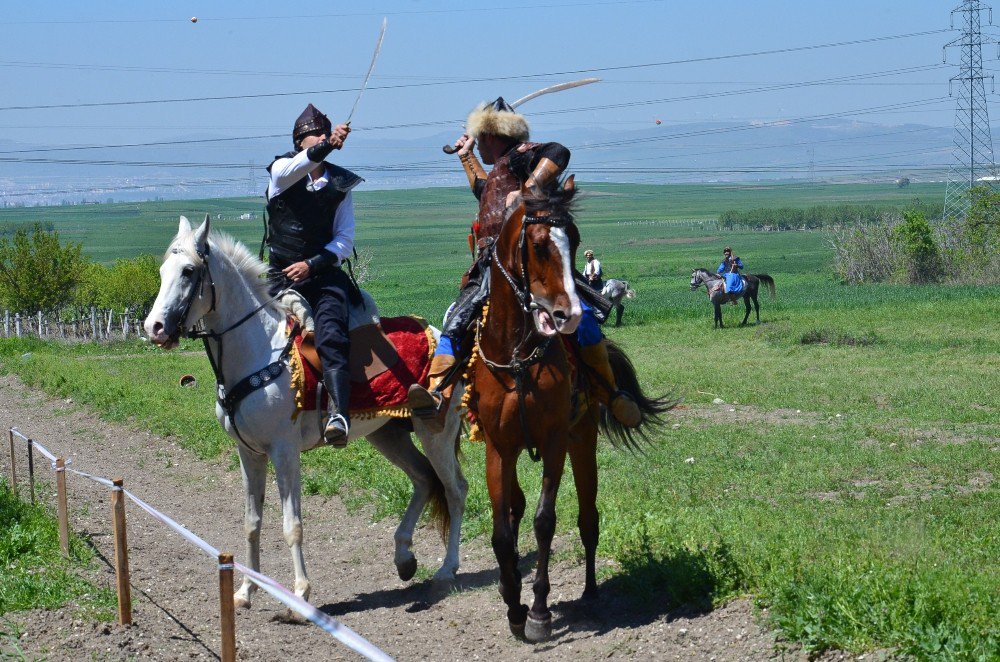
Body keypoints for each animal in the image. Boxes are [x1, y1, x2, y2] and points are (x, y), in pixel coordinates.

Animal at [145, 217, 468, 612]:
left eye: (189, 271)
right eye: (163, 271)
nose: (154, 328)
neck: (259, 351)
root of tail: (443, 334)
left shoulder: (284, 452)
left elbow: (292, 524)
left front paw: (300, 595)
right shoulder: (248, 453)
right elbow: (252, 522)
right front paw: (245, 591)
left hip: (435, 430)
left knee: (455, 489)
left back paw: (446, 569)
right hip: (388, 434)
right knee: (423, 479)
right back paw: (404, 558)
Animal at [466, 182, 672, 644]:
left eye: (575, 242)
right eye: (540, 245)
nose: (571, 314)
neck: (518, 358)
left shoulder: (556, 442)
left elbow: (545, 521)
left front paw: (539, 613)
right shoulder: (498, 448)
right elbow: (502, 533)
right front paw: (514, 607)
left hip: (583, 440)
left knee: (588, 517)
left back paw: (591, 591)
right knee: (517, 510)